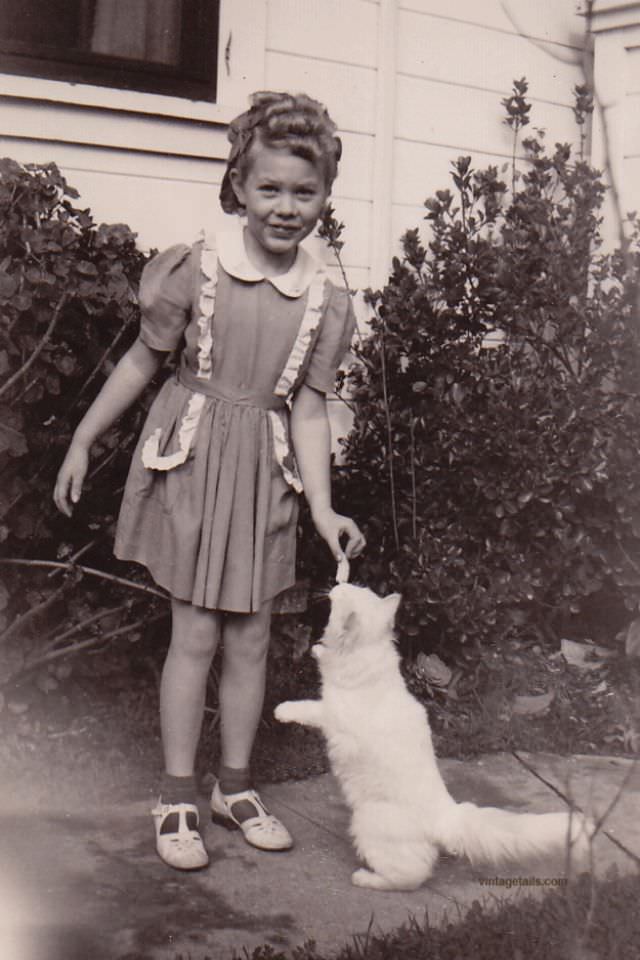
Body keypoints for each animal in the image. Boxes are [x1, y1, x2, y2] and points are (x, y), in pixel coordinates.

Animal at [274, 584, 592, 892]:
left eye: (344, 594)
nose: (335, 585)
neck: (369, 656)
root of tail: (446, 814)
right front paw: (317, 650)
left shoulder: (333, 715)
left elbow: (307, 708)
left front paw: (282, 710)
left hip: (368, 821)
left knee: (411, 877)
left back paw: (366, 879)